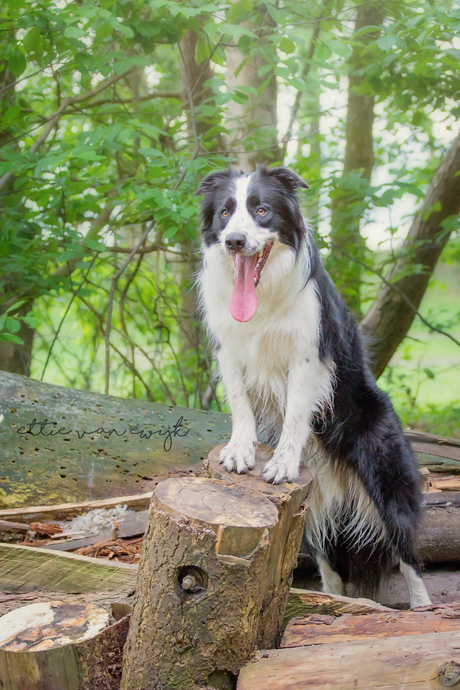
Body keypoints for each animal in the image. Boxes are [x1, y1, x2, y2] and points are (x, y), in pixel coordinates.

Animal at [197, 167, 432, 608]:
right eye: (225, 212)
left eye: (261, 210)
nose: (234, 241)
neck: (264, 296)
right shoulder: (229, 350)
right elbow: (240, 403)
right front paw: (240, 450)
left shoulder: (308, 358)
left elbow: (294, 414)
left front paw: (282, 463)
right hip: (311, 512)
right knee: (329, 566)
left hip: (386, 480)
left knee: (409, 554)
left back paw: (424, 607)